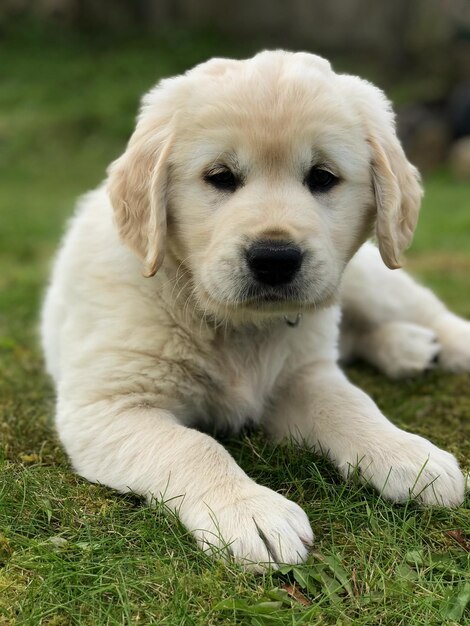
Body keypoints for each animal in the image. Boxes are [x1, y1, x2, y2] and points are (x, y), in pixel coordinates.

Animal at [42, 51, 468, 572]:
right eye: (220, 176)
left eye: (322, 177)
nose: (275, 258)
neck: (232, 323)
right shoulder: (109, 405)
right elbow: (193, 446)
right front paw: (251, 512)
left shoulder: (302, 373)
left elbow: (350, 404)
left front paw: (407, 453)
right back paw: (408, 348)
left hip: (368, 277)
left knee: (423, 312)